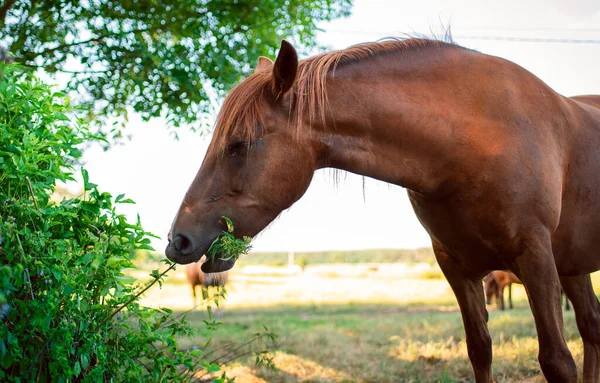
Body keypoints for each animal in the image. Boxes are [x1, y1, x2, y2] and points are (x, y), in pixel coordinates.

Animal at [165, 36, 600, 383]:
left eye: (239, 144)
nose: (177, 241)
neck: (477, 139)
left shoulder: (536, 258)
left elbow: (557, 360)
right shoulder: (456, 268)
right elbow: (480, 349)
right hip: (572, 267)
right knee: (591, 324)